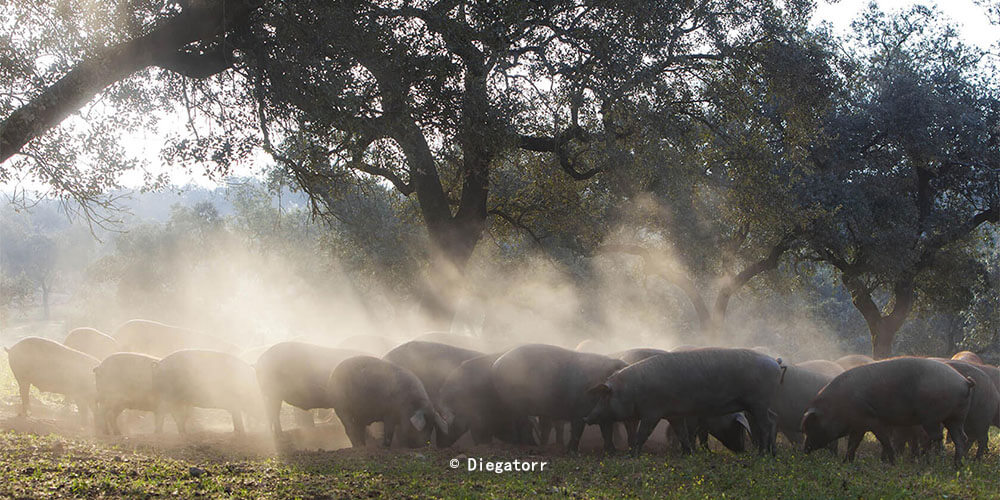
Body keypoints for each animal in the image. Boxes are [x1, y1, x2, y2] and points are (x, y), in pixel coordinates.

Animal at [492, 344, 624, 454]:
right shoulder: (578, 412)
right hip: (516, 404)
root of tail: (496, 365)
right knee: (523, 424)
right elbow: (577, 431)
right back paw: (528, 446)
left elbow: (607, 432)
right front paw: (572, 452)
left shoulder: (604, 417)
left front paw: (612, 451)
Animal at [584, 348, 780, 458]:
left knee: (766, 424)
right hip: (760, 405)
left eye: (605, 396)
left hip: (760, 402)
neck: (632, 390)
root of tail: (775, 362)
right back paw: (770, 453)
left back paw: (762, 455)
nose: (587, 417)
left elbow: (643, 433)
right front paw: (687, 454)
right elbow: (682, 433)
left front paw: (631, 456)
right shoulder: (674, 414)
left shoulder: (652, 413)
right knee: (772, 420)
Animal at [800, 358, 972, 466]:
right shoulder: (858, 425)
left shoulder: (872, 419)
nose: (804, 450)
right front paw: (846, 462)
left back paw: (924, 461)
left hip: (931, 417)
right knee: (960, 438)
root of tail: (964, 381)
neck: (837, 406)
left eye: (812, 427)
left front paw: (892, 462)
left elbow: (883, 439)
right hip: (956, 417)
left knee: (935, 437)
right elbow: (853, 443)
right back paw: (957, 465)